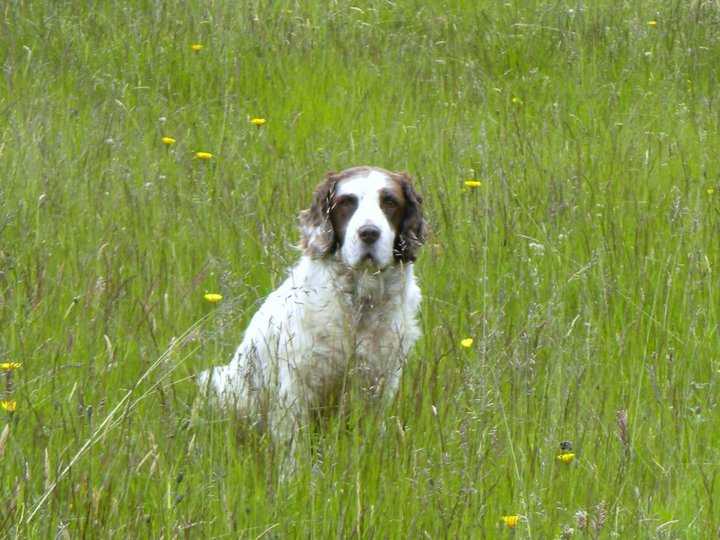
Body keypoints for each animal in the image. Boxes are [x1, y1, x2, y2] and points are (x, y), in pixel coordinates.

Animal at [197, 167, 428, 446]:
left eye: (390, 201)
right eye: (347, 202)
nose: (369, 233)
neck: (360, 303)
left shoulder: (379, 381)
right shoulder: (297, 383)